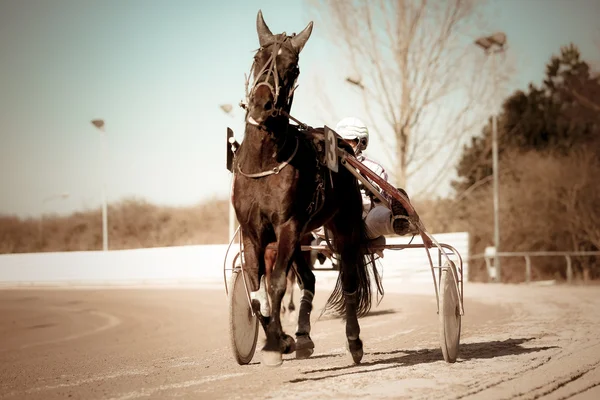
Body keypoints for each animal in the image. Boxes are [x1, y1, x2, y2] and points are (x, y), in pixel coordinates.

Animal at [232, 10, 382, 366]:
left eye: (294, 67)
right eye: (258, 57)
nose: (262, 103)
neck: (263, 163)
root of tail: (343, 149)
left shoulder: (287, 225)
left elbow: (275, 284)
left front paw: (275, 344)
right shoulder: (252, 231)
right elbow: (255, 291)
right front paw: (283, 339)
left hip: (343, 225)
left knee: (350, 280)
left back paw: (354, 341)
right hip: (303, 236)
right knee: (309, 280)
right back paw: (301, 337)